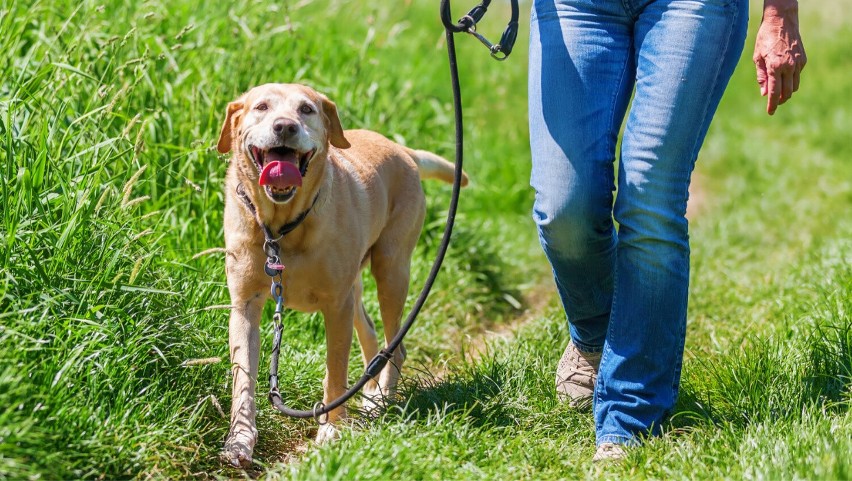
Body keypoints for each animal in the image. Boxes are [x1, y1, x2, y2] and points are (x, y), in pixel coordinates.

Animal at [213, 83, 466, 464]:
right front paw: (240, 440)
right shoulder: (244, 306)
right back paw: (371, 394)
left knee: (395, 347)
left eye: (306, 109)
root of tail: (403, 150)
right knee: (372, 336)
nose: (284, 126)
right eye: (261, 107)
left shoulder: (336, 306)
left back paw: (380, 402)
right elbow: (243, 379)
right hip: (357, 288)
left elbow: (335, 372)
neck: (283, 228)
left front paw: (331, 430)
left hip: (391, 271)